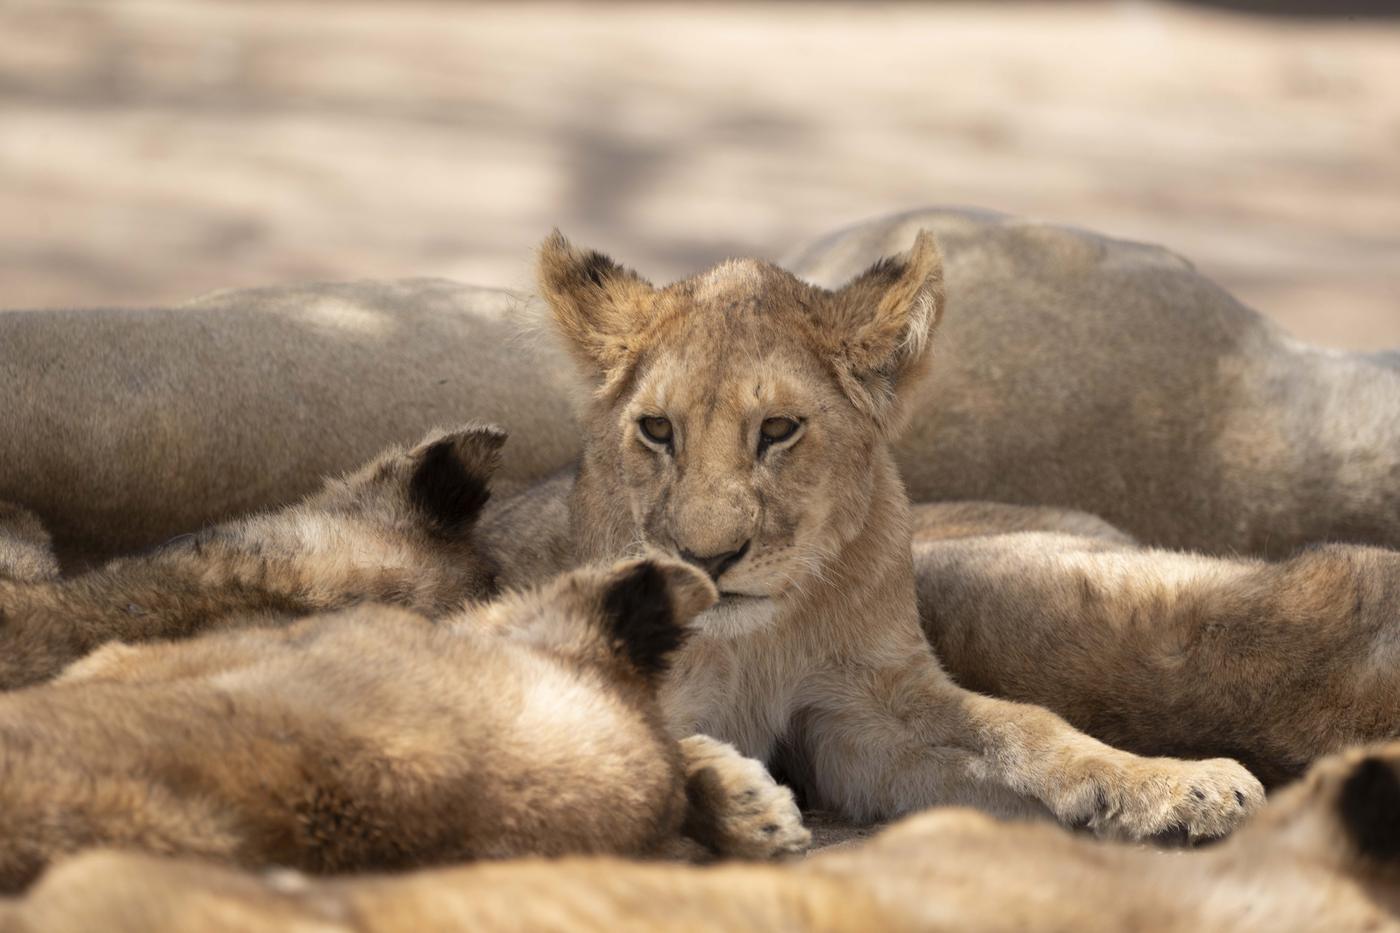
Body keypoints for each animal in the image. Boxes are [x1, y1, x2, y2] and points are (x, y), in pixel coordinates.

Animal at [474, 229, 1265, 845]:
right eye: (658, 429)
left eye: (778, 429)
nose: (708, 558)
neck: (757, 639)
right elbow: (649, 742)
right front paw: (743, 803)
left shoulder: (859, 715)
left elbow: (1027, 726)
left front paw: (1179, 785)